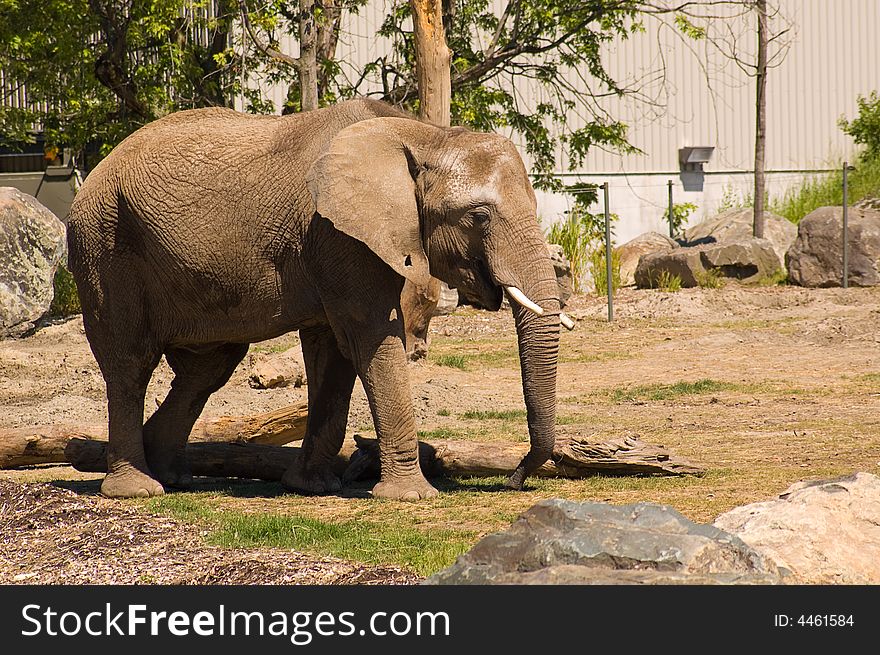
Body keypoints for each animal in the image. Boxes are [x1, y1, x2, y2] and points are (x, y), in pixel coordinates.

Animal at [70, 97, 576, 500]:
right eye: (478, 216)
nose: (515, 478)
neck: (422, 134)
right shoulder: (336, 233)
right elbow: (369, 337)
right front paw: (411, 497)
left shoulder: (330, 243)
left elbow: (334, 351)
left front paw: (312, 487)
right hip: (105, 245)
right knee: (130, 362)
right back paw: (137, 488)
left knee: (208, 368)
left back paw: (172, 475)